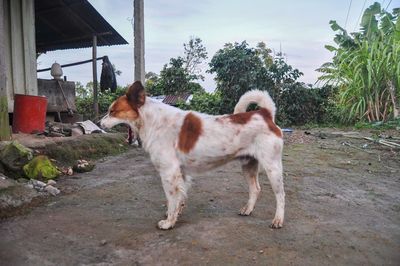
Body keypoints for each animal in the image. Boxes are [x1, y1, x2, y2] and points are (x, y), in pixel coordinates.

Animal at [101, 82, 284, 230]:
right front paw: (176, 214)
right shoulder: (180, 173)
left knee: (280, 195)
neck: (154, 121)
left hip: (272, 167)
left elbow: (171, 199)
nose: (100, 123)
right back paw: (248, 210)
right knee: (255, 189)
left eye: (112, 112)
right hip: (248, 166)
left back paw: (278, 220)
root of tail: (264, 114)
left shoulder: (169, 172)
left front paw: (169, 222)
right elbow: (179, 199)